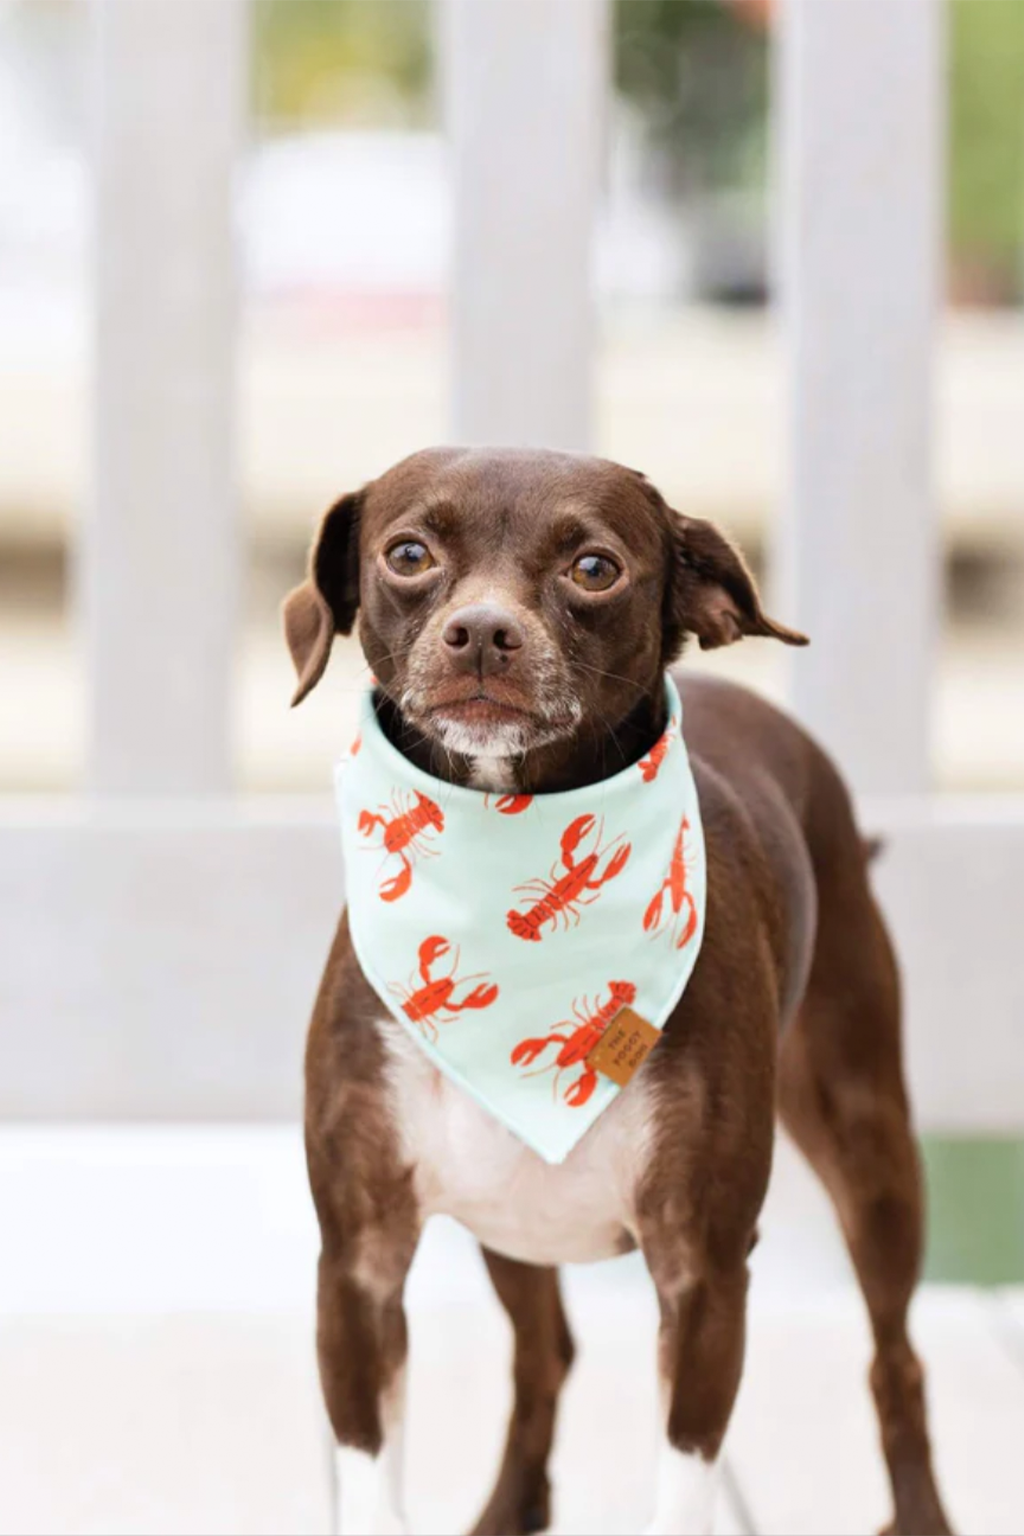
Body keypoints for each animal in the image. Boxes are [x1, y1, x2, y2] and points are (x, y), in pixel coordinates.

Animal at [282, 448, 951, 1536]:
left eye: (594, 567)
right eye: (408, 554)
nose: (482, 629)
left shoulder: (705, 1274)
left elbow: (683, 1481)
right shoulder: (357, 1271)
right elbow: (373, 1481)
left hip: (872, 1149)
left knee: (896, 1359)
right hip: (513, 1228)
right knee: (543, 1360)